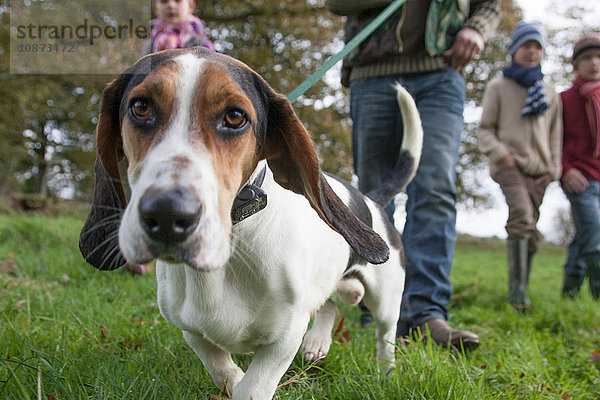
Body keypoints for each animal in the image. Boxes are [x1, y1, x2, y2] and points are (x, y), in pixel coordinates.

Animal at [79, 47, 422, 400]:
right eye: (140, 107)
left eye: (235, 117)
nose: (166, 214)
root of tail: (370, 199)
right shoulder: (189, 327)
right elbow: (219, 366)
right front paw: (231, 378)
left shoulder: (284, 338)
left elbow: (253, 388)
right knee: (329, 306)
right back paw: (317, 343)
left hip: (386, 300)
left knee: (385, 336)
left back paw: (386, 373)